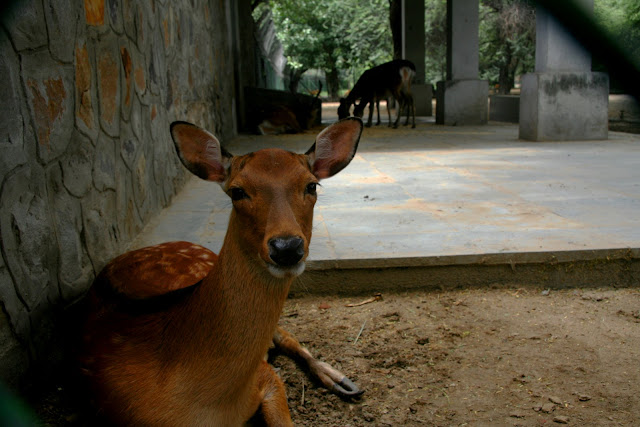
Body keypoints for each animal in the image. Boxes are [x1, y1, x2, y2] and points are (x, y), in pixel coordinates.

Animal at [81, 118, 364, 426]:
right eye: (237, 191)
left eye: (311, 186)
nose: (287, 247)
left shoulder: (265, 377)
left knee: (285, 334)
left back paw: (340, 380)